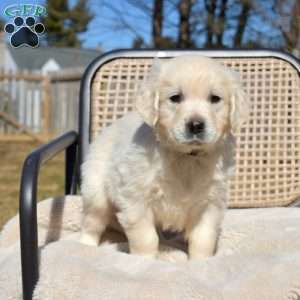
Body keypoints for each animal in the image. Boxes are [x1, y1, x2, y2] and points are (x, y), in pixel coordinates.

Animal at [79, 55, 248, 258]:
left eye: (215, 98)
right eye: (175, 98)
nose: (196, 125)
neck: (186, 157)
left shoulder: (210, 202)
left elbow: (203, 238)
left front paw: (201, 261)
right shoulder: (136, 198)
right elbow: (146, 237)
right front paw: (145, 260)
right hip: (96, 193)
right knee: (91, 223)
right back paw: (85, 245)